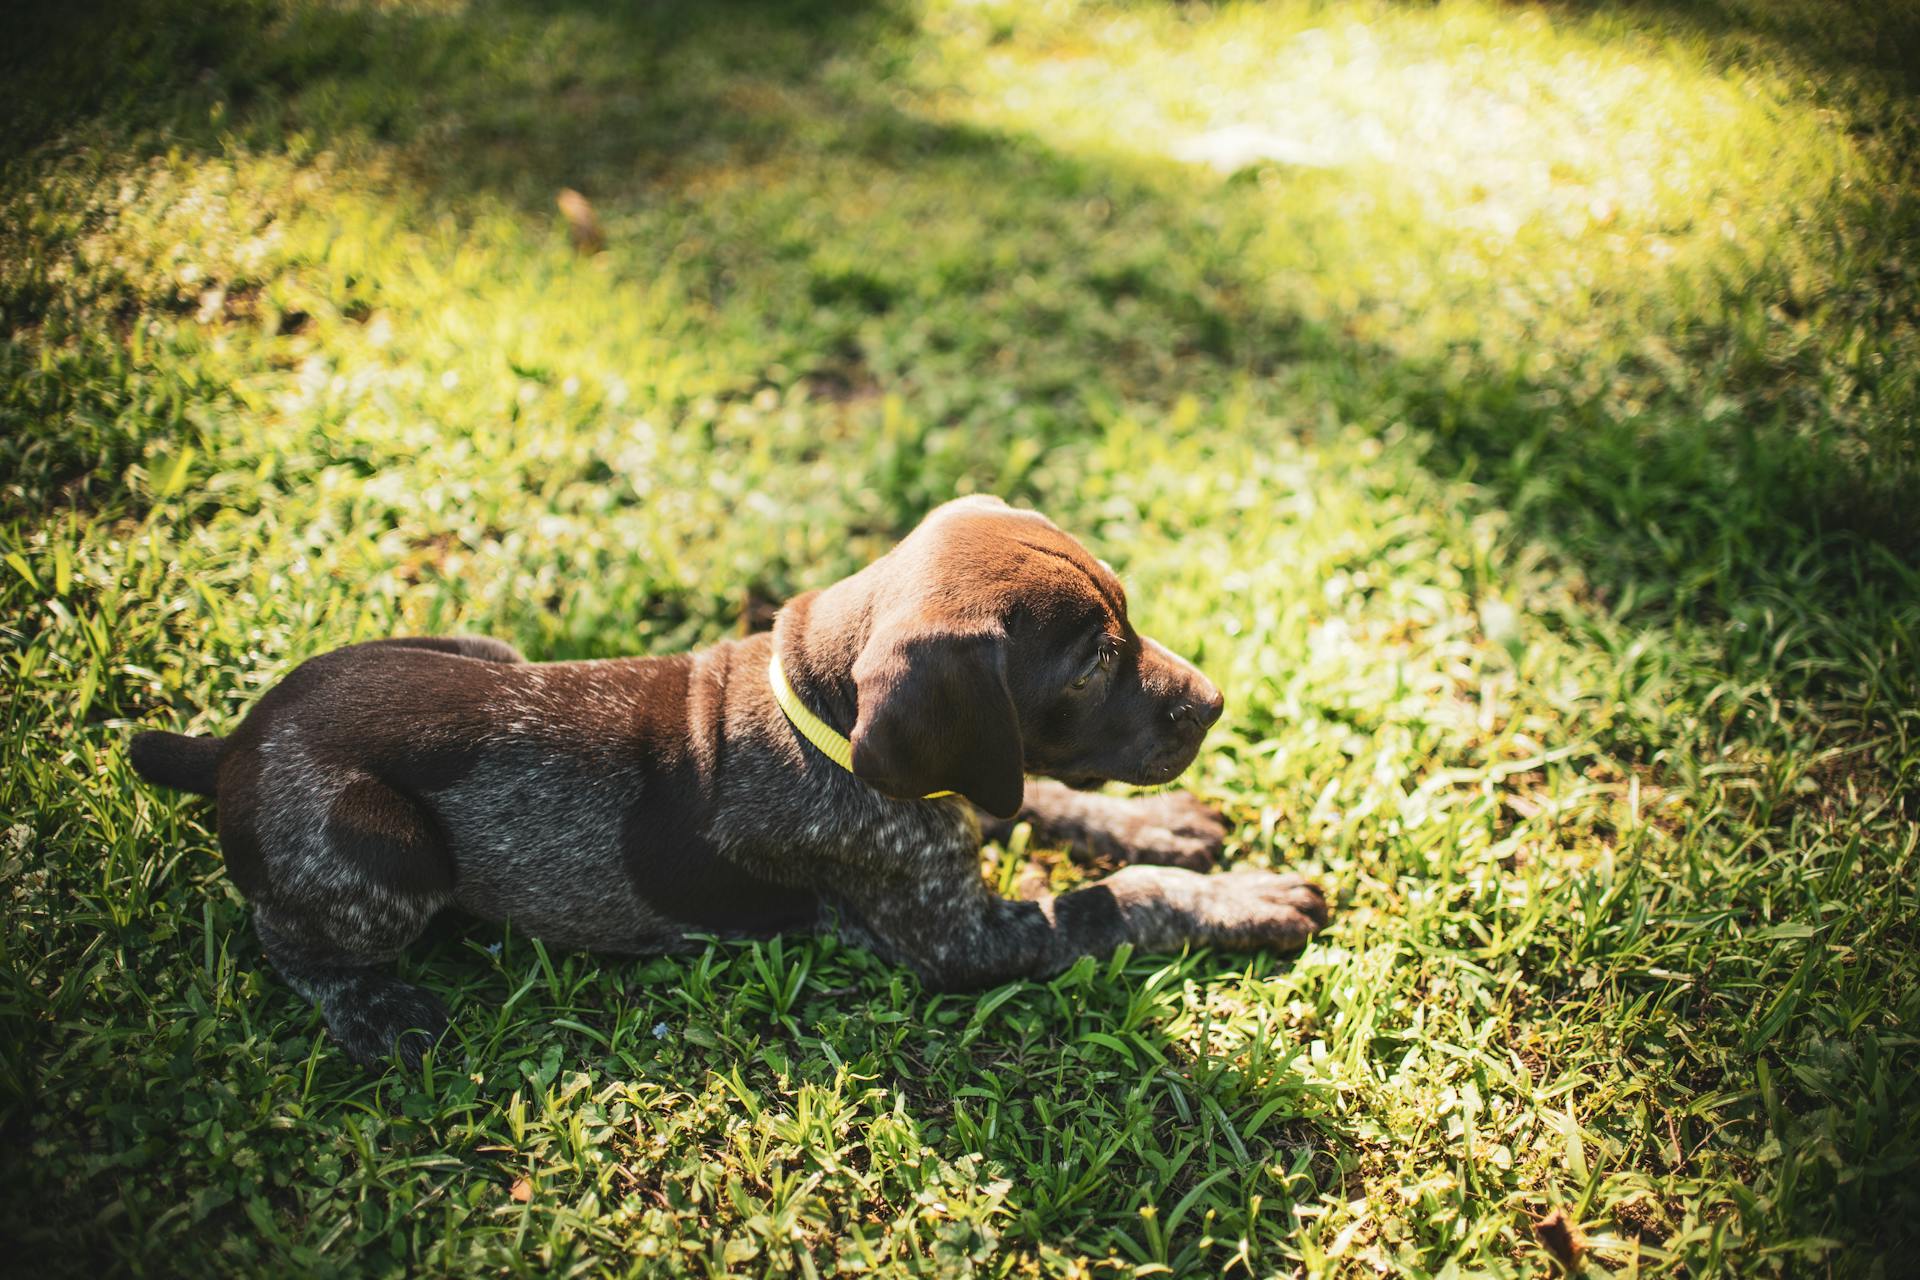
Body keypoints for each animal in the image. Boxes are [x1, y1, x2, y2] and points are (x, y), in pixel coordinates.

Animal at [127, 495, 1328, 1066]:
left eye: (1129, 612)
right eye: (1087, 667)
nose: (1214, 701)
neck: (820, 713)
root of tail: (235, 741)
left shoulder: (973, 789)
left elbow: (1039, 793)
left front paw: (1164, 827)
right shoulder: (961, 941)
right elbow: (1112, 901)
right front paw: (1245, 898)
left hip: (481, 645)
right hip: (384, 843)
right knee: (288, 945)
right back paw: (374, 1009)